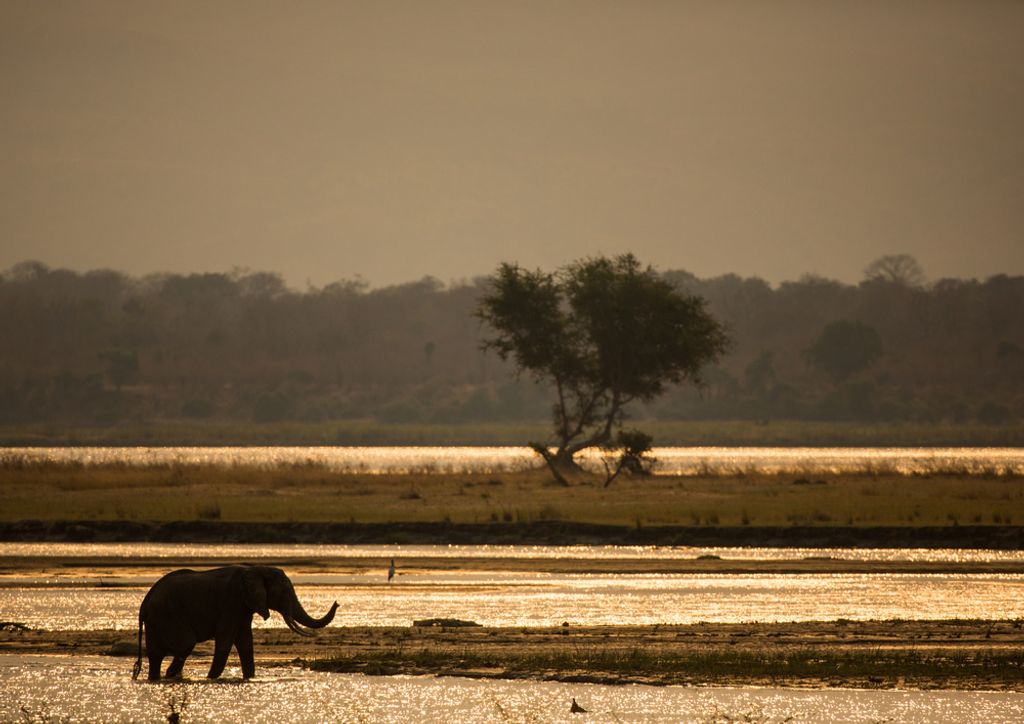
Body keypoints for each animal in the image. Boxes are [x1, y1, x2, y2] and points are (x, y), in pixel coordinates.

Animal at [132, 565, 338, 681]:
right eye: (285, 593)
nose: (337, 602)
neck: (256, 570)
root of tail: (144, 603)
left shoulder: (244, 606)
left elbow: (245, 641)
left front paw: (250, 678)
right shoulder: (231, 603)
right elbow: (225, 640)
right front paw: (211, 679)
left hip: (157, 620)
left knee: (156, 655)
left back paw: (160, 678)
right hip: (168, 615)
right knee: (185, 644)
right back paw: (168, 676)